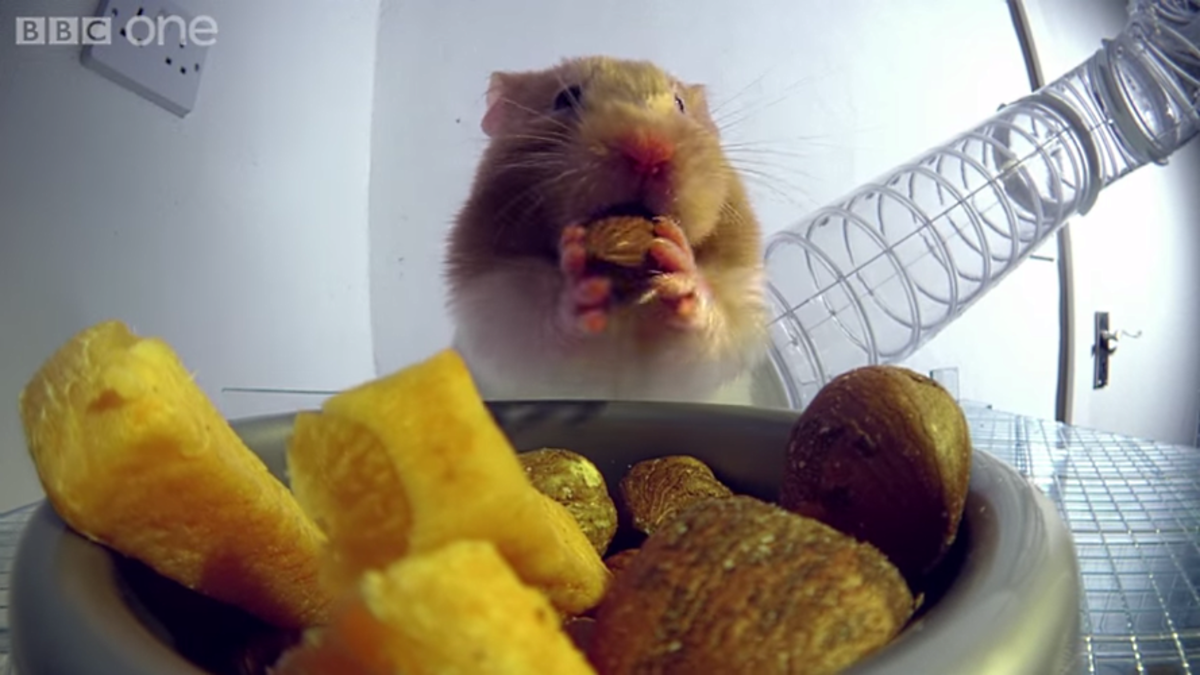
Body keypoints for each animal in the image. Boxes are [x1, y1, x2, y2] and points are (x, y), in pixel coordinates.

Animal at [444, 56, 770, 403]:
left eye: (680, 104)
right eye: (564, 98)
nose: (648, 150)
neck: (625, 299)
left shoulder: (740, 305)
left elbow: (713, 335)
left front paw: (678, 263)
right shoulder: (492, 306)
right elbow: (536, 331)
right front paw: (579, 285)